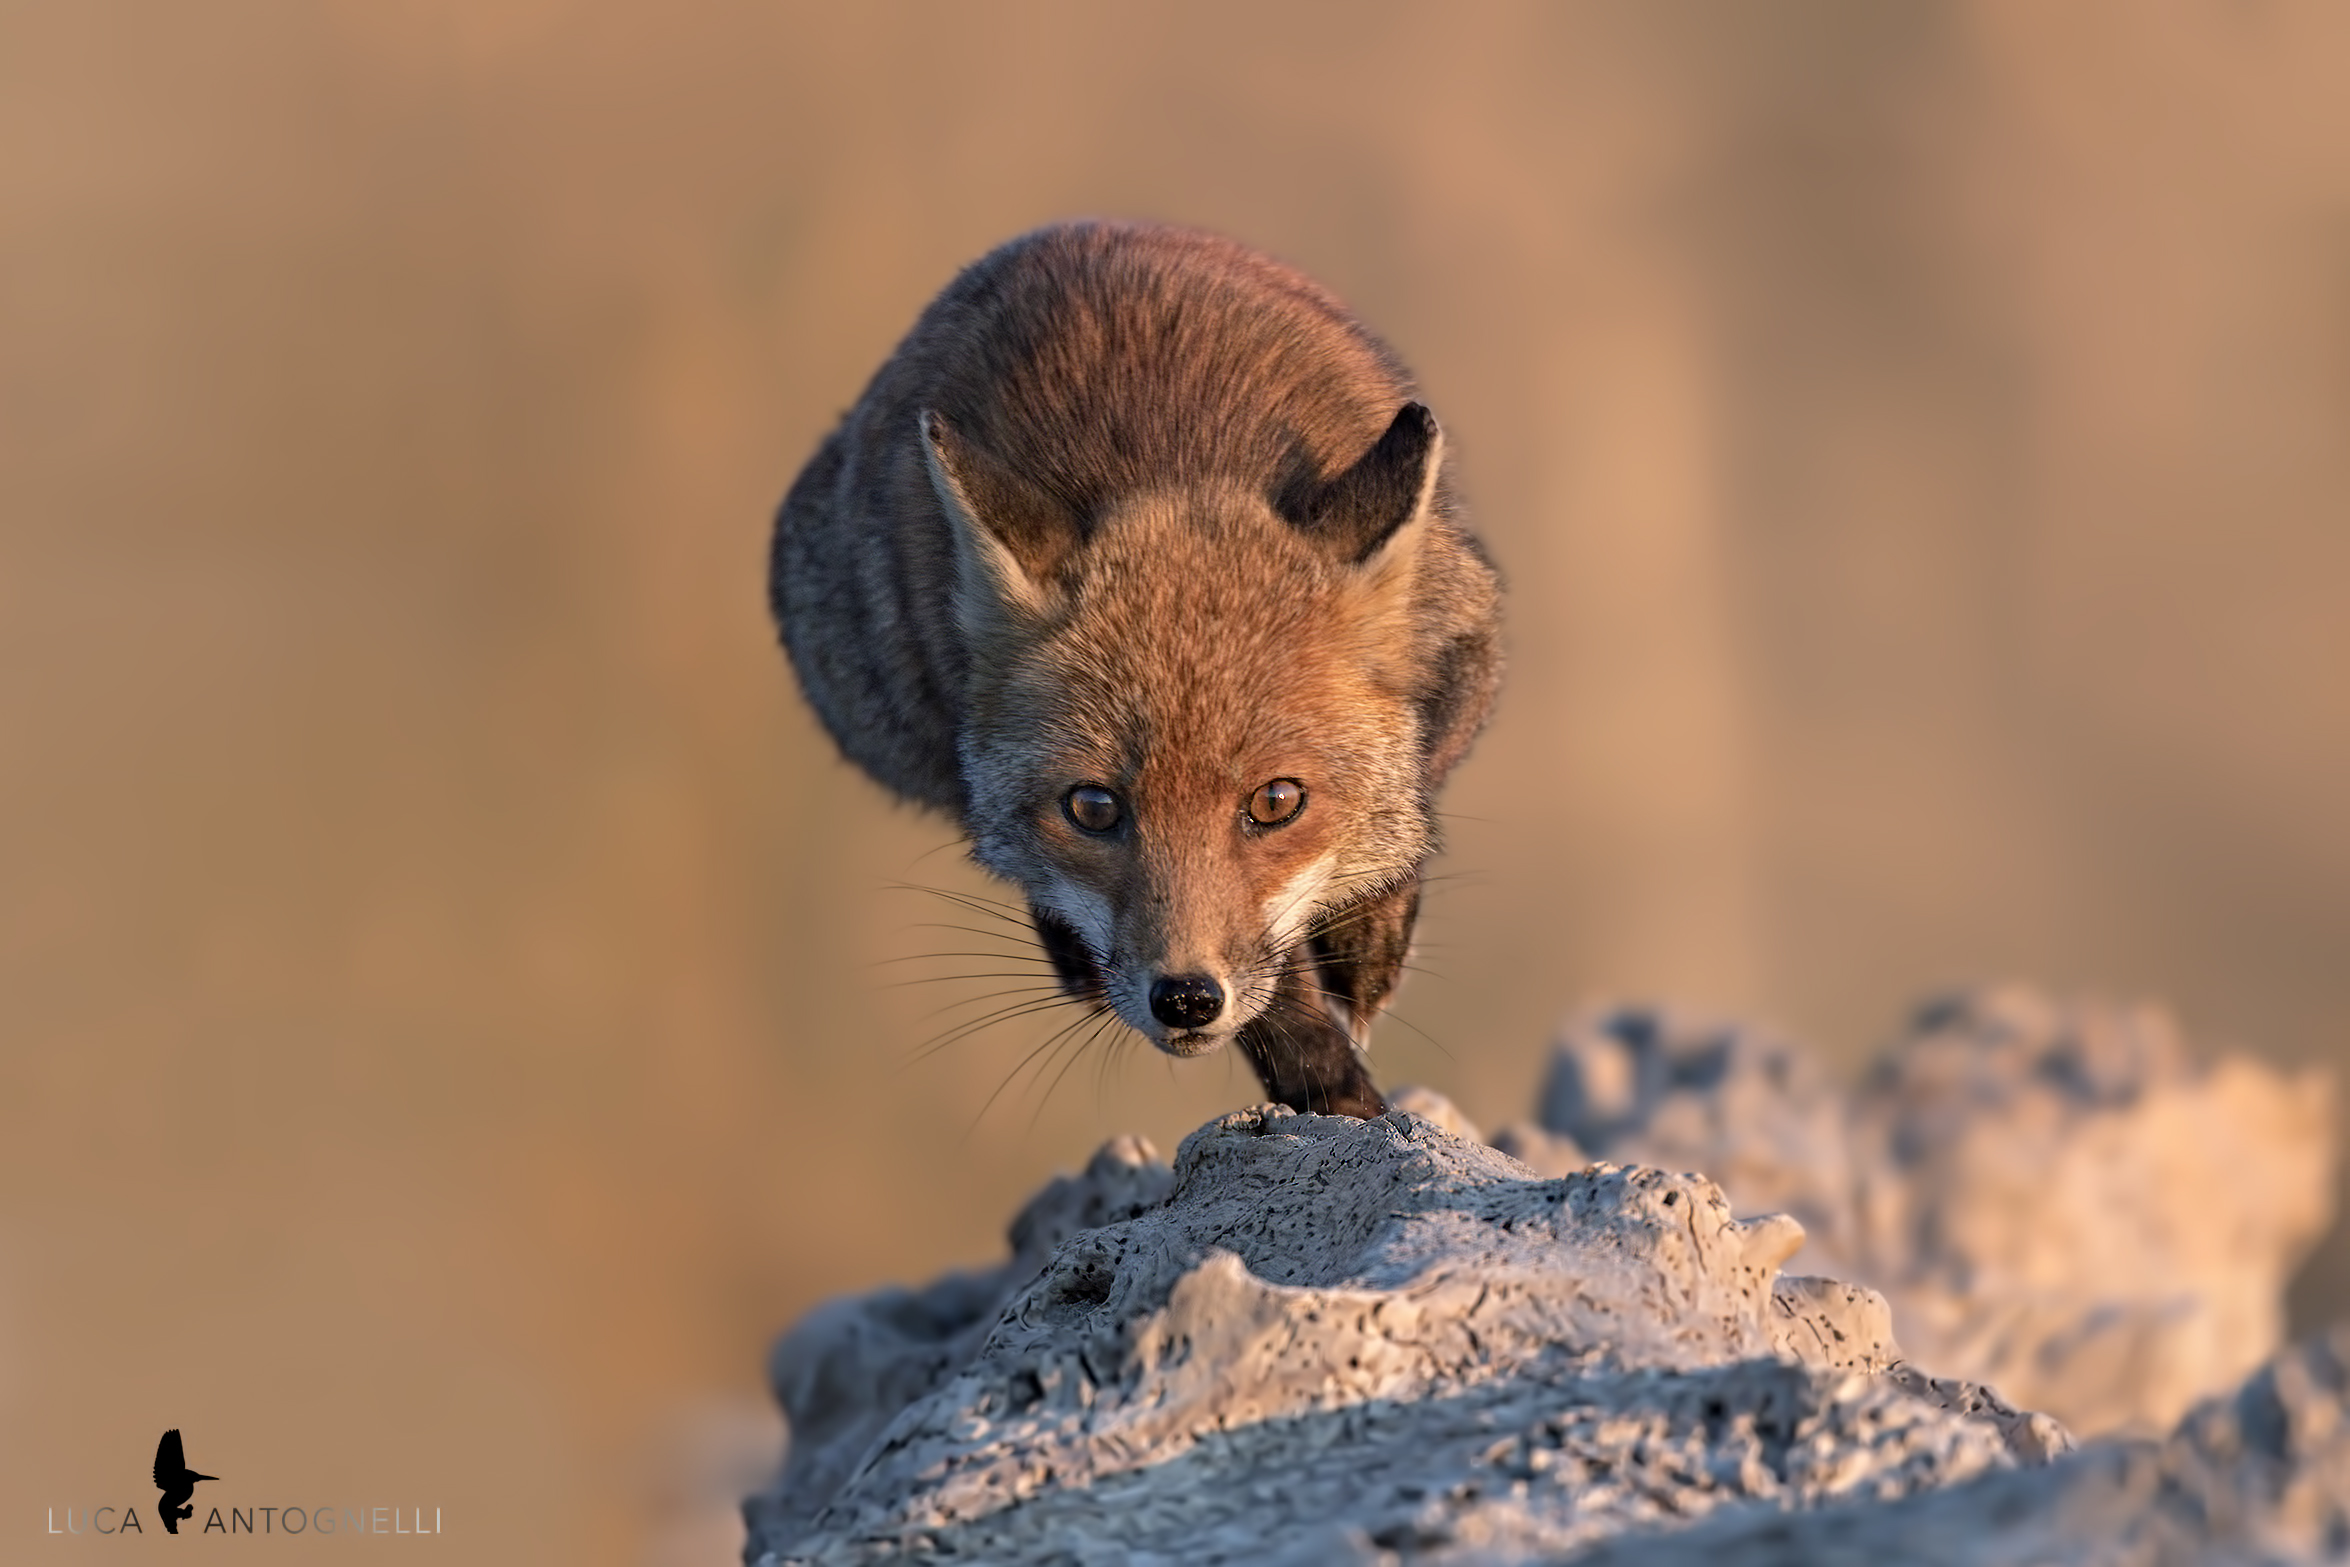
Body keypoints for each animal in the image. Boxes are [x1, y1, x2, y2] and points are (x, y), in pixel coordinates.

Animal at [770, 221, 1501, 1118]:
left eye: (1278, 802)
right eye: (1092, 807)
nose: (1186, 998)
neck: (1176, 461)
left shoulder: (1465, 649)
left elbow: (1411, 796)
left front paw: (1369, 937)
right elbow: (1280, 1005)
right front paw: (1333, 1087)